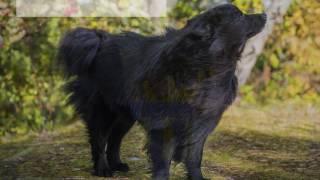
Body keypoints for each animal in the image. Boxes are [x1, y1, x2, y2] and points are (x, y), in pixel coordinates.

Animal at [58, 4, 268, 180]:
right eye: (240, 16)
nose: (265, 14)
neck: (207, 66)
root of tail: (101, 40)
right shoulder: (165, 123)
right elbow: (163, 159)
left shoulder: (200, 123)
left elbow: (194, 157)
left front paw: (197, 178)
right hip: (103, 110)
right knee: (99, 140)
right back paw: (103, 169)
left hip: (125, 116)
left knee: (115, 139)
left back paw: (117, 164)